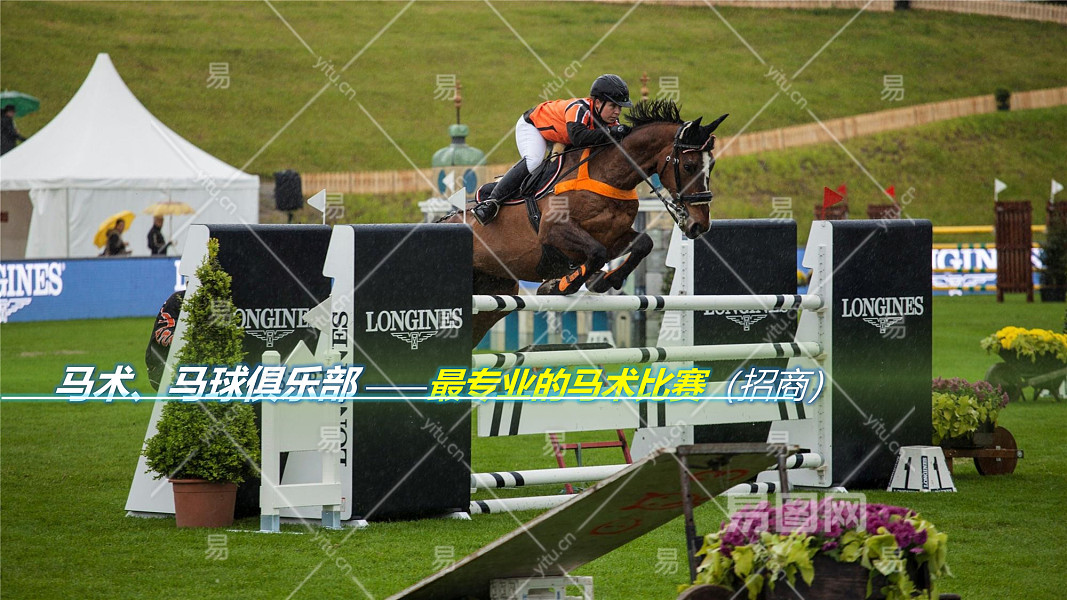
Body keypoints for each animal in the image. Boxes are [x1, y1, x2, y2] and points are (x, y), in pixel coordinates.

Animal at [439, 100, 728, 344]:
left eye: (711, 165)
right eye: (689, 166)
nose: (699, 225)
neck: (609, 176)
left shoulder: (614, 237)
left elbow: (642, 244)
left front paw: (604, 280)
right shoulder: (554, 231)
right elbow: (596, 254)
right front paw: (559, 286)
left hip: (497, 291)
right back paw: (486, 209)